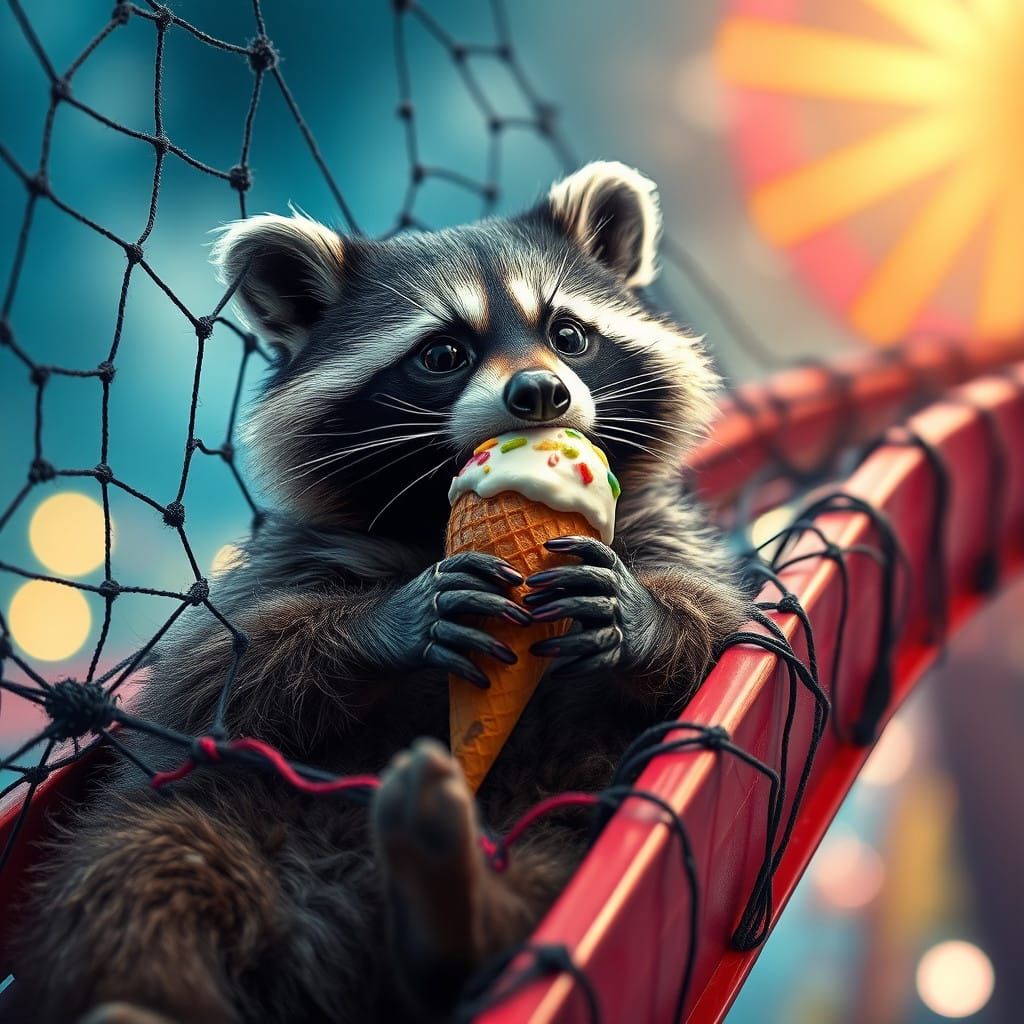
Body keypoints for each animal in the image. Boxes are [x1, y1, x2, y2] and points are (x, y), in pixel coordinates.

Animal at [13, 162, 747, 1024]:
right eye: (443, 353)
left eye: (568, 334)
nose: (541, 392)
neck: (433, 511)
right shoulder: (286, 561)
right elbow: (209, 682)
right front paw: (387, 623)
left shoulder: (659, 531)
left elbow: (721, 632)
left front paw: (643, 617)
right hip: (221, 818)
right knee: (141, 869)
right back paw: (148, 996)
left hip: (569, 809)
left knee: (555, 869)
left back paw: (457, 911)